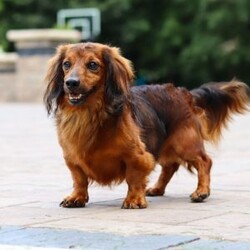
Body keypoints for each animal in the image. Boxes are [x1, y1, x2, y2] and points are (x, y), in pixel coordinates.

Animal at [43, 42, 250, 208]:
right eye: (66, 64)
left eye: (92, 65)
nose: (71, 83)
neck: (88, 115)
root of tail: (184, 93)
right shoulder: (72, 158)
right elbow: (79, 179)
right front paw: (76, 197)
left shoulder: (138, 155)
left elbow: (134, 177)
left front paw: (134, 199)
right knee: (170, 166)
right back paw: (157, 188)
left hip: (185, 142)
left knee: (204, 161)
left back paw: (202, 191)